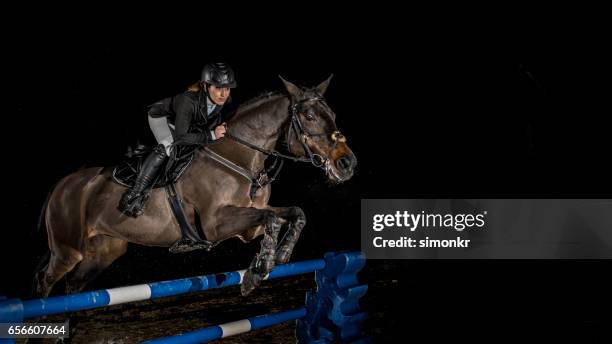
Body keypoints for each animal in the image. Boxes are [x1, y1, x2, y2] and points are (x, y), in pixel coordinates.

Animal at [33, 75, 356, 298]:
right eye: (309, 117)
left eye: (333, 116)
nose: (347, 163)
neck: (240, 158)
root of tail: (62, 184)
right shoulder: (216, 224)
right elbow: (273, 219)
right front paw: (259, 271)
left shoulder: (248, 226)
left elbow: (293, 214)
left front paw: (281, 255)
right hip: (67, 249)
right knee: (45, 281)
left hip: (103, 251)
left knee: (73, 286)